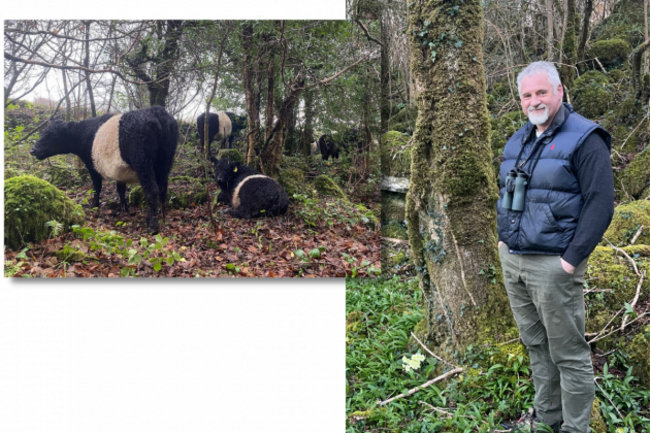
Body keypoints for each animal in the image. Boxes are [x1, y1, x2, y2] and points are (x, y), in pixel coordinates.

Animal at [29, 105, 177, 233]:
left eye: (50, 135)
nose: (33, 150)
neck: (84, 132)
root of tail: (156, 111)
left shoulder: (92, 165)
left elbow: (97, 186)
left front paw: (94, 205)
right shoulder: (119, 170)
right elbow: (121, 189)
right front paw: (124, 209)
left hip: (142, 162)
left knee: (152, 191)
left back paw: (152, 226)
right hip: (165, 162)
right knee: (163, 190)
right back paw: (161, 218)